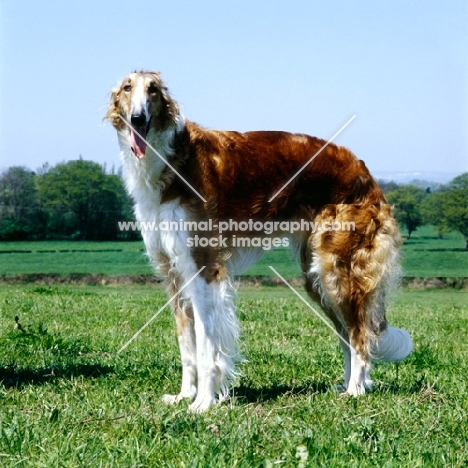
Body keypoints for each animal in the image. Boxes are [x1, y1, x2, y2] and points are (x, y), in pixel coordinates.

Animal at [107, 71, 414, 412]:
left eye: (153, 90)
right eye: (127, 88)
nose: (138, 118)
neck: (172, 160)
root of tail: (364, 172)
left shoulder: (203, 267)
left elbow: (205, 346)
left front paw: (203, 402)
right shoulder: (173, 272)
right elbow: (187, 344)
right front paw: (185, 394)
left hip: (336, 269)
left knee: (359, 334)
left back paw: (357, 390)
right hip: (315, 275)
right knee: (346, 333)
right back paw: (345, 386)